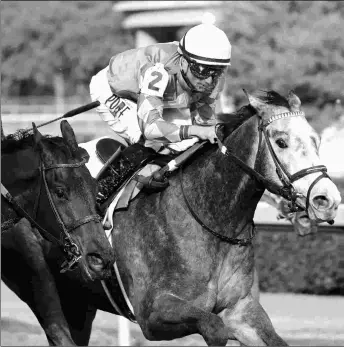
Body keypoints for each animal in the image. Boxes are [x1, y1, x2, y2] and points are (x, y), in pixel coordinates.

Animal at [24, 91, 342, 346]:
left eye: (316, 139)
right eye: (281, 141)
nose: (326, 199)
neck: (212, 221)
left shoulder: (241, 310)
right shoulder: (152, 315)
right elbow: (214, 327)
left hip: (79, 303)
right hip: (43, 289)